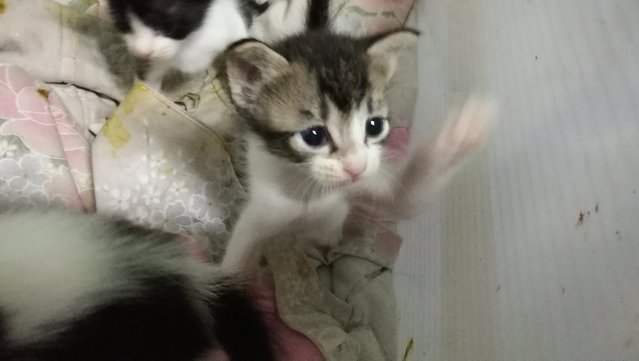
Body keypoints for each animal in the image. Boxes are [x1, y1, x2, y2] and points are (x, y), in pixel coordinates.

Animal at [218, 30, 498, 270]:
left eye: (374, 126)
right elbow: (233, 272)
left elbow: (405, 201)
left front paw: (458, 135)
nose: (356, 168)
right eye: (313, 136)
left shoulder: (358, 186)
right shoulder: (263, 213)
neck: (312, 192)